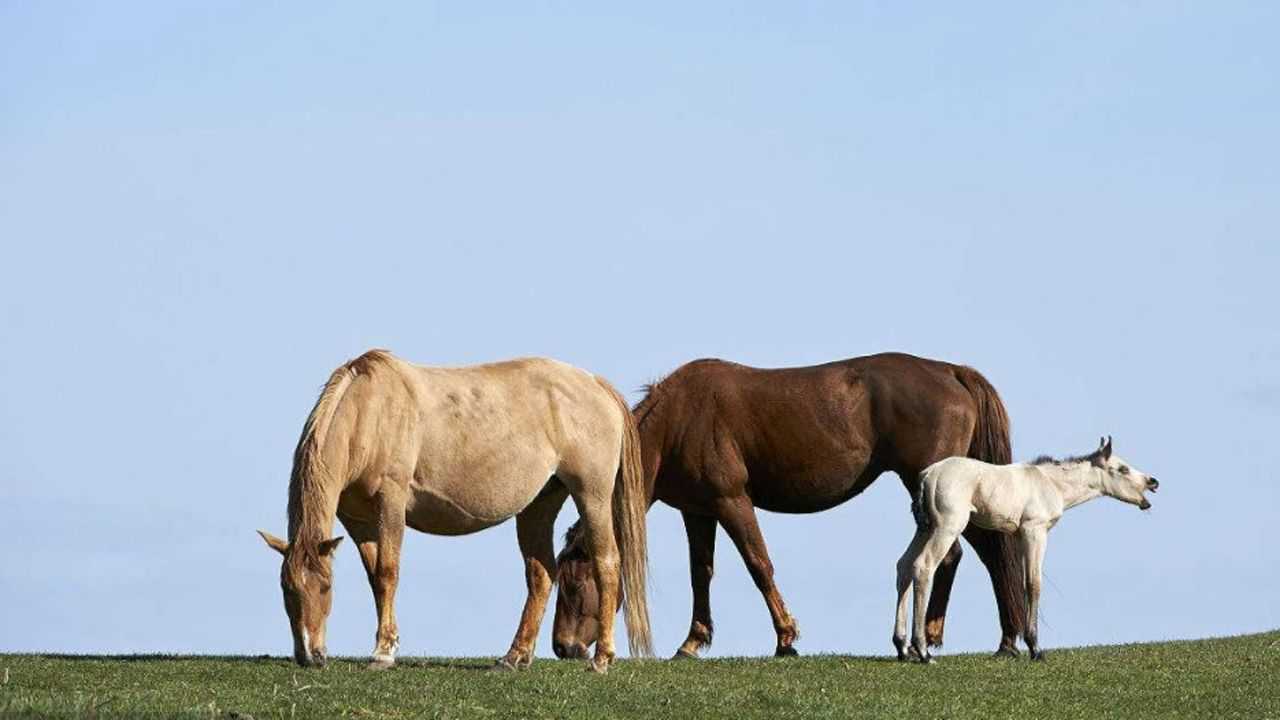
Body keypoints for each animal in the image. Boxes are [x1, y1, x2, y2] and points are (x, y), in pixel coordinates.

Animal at [256, 351, 655, 671]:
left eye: (325, 587)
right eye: (286, 589)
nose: (309, 655)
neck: (369, 412)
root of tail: (596, 384)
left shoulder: (391, 502)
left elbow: (387, 572)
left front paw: (383, 652)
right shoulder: (357, 521)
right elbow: (374, 577)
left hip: (593, 495)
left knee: (606, 563)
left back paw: (601, 659)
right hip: (538, 505)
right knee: (541, 574)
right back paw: (514, 657)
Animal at [552, 351, 1029, 661]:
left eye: (574, 583)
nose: (563, 647)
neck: (681, 419)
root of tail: (952, 372)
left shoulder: (732, 502)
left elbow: (759, 565)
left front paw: (786, 639)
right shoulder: (698, 511)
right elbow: (701, 573)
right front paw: (693, 641)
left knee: (967, 554)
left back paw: (955, 637)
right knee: (979, 554)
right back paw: (998, 639)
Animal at [890, 435, 1162, 661]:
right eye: (1122, 468)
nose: (1153, 482)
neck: (1050, 483)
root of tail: (928, 474)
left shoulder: (1020, 535)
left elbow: (1023, 582)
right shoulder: (1035, 531)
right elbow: (1034, 583)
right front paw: (1035, 648)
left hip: (925, 529)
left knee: (904, 566)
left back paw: (902, 646)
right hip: (947, 527)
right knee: (923, 567)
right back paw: (923, 651)